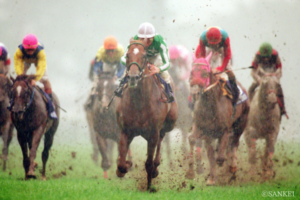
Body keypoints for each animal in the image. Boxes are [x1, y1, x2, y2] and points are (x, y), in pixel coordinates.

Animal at [116, 39, 178, 191]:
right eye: (127, 55)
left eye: (144, 56)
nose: (133, 77)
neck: (139, 102)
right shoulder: (126, 131)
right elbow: (121, 164)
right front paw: (126, 165)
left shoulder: (153, 132)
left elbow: (149, 163)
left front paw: (149, 186)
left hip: (167, 125)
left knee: (161, 140)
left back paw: (156, 168)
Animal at [186, 55, 250, 185]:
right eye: (191, 72)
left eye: (205, 73)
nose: (194, 93)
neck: (210, 107)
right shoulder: (203, 130)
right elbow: (194, 141)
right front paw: (193, 173)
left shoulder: (225, 130)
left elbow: (220, 157)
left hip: (241, 124)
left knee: (234, 143)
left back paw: (233, 167)